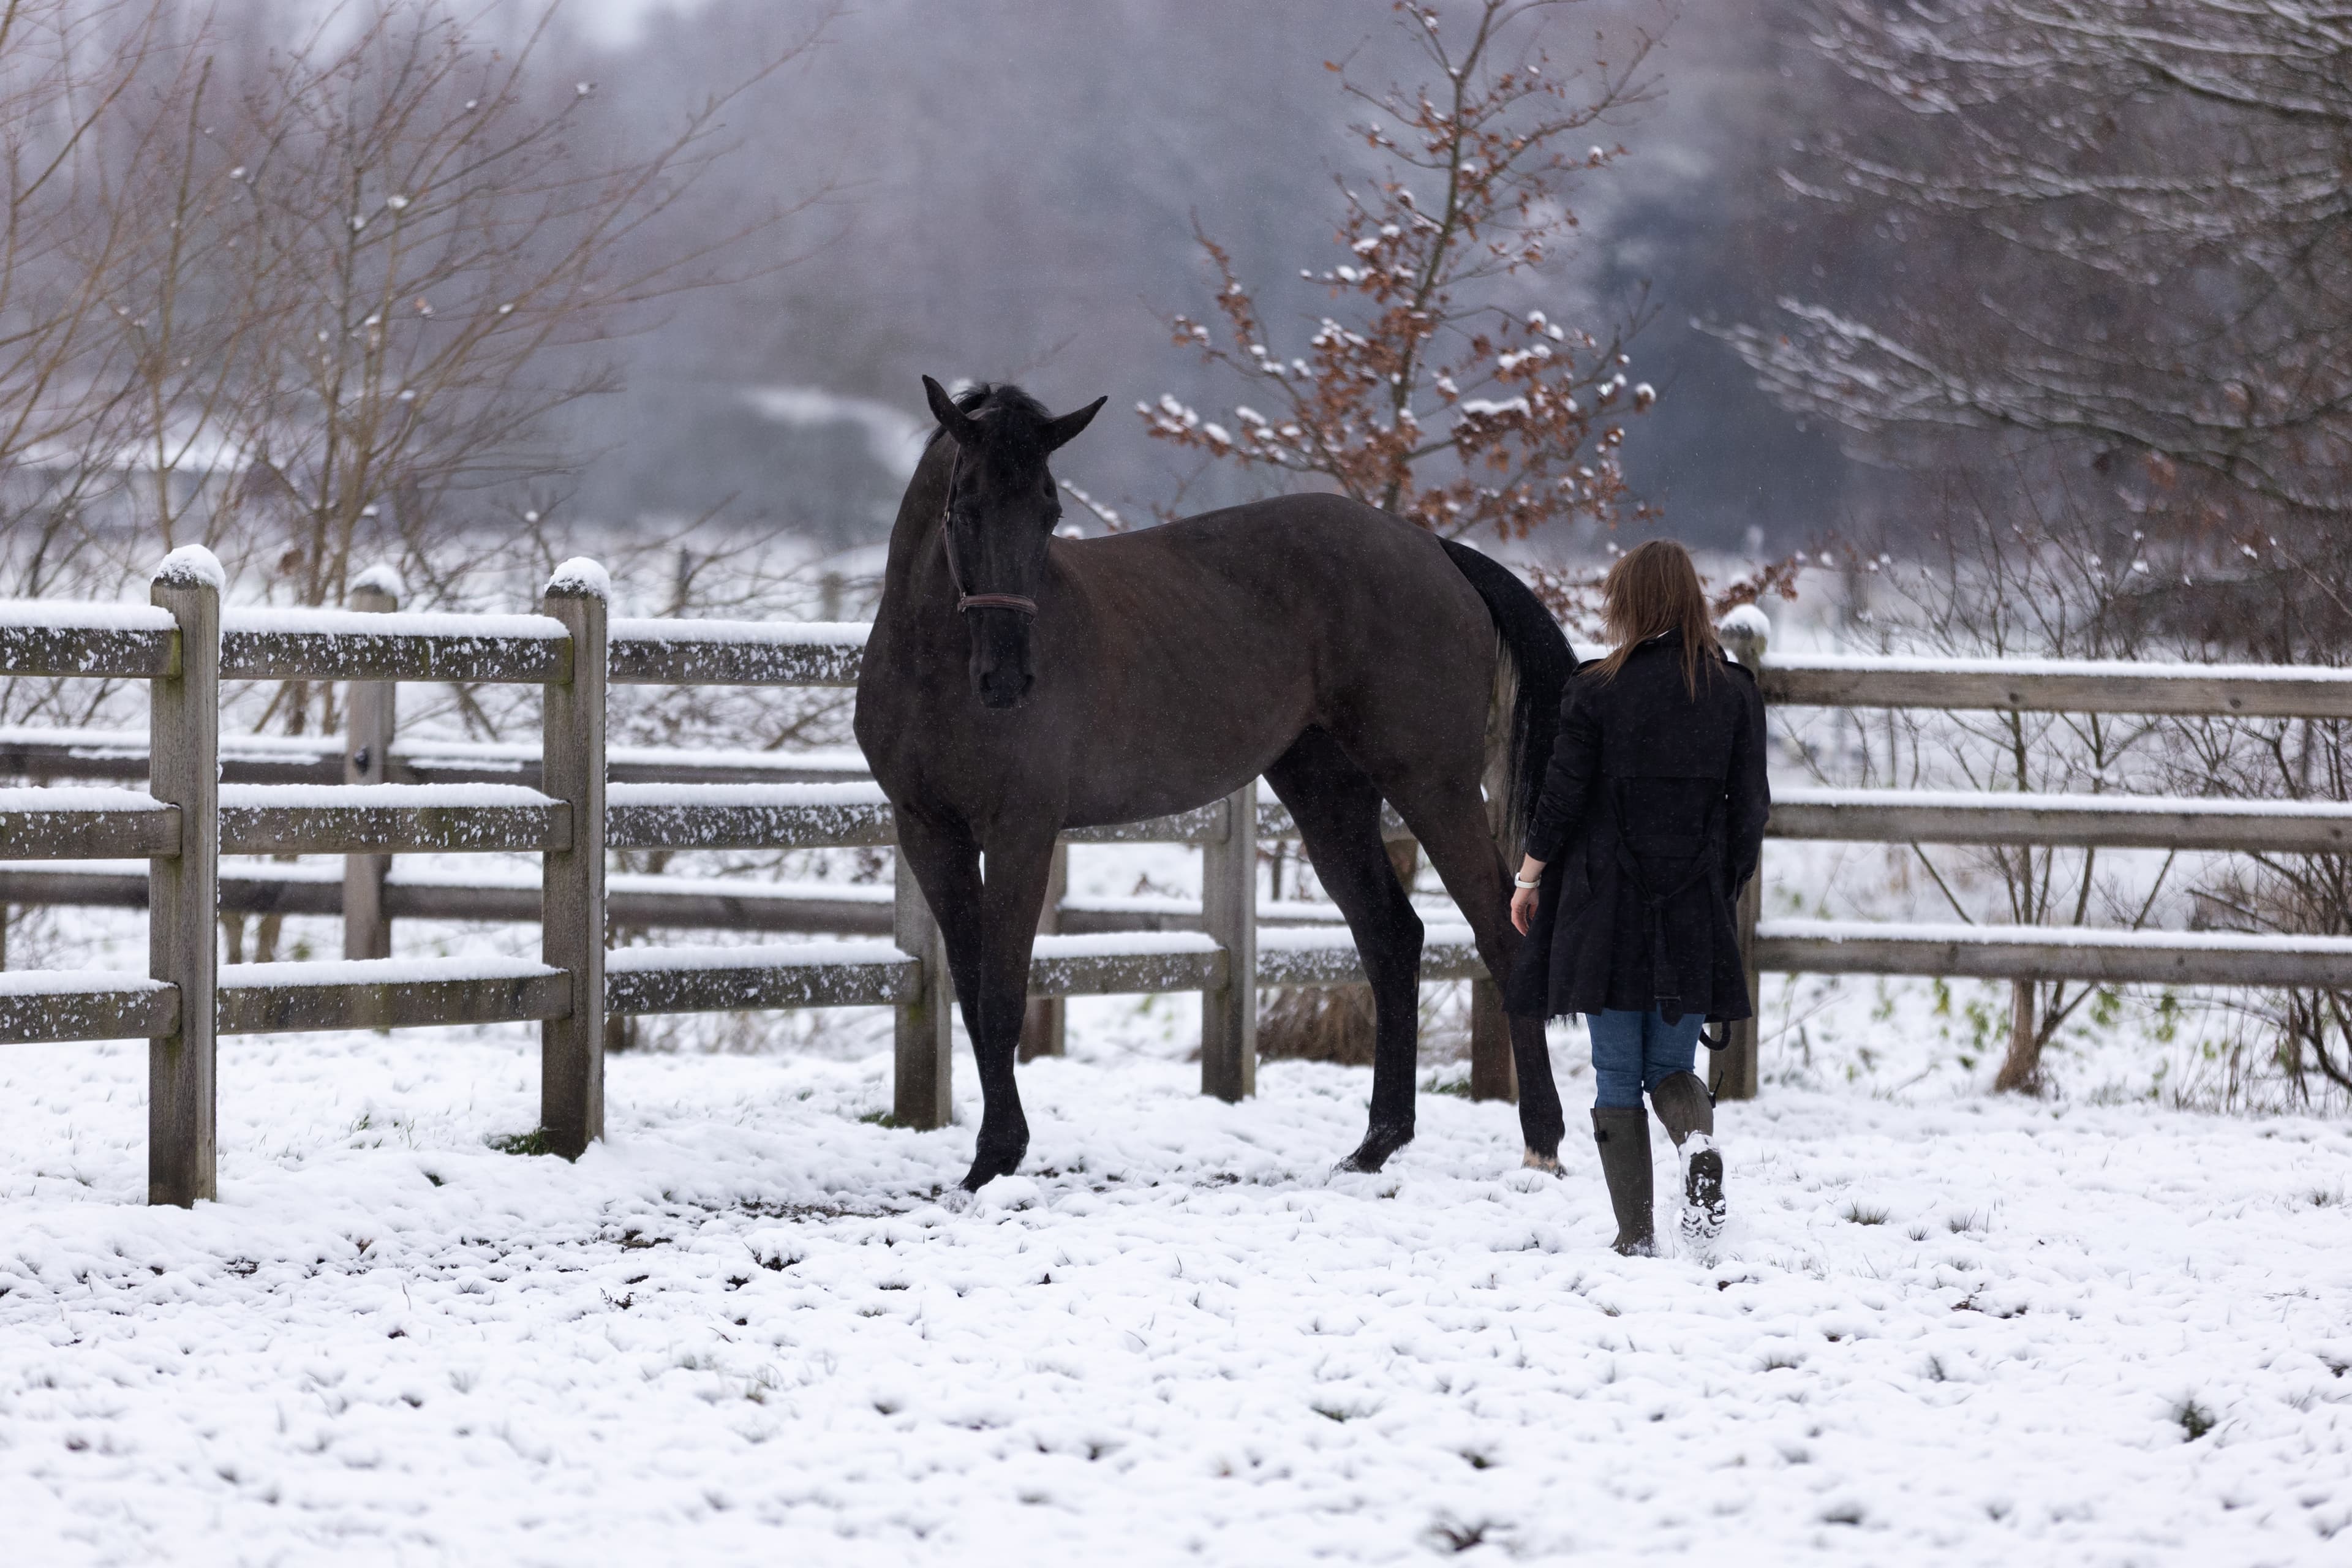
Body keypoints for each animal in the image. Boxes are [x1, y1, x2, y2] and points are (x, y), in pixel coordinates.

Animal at [853, 377, 1576, 1192]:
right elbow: (972, 992)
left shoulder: (1021, 833)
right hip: (1329, 796)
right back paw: (1374, 1146)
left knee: (1500, 937)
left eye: (1049, 510)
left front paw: (996, 1159)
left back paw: (1542, 1141)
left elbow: (1002, 994)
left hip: (1434, 785)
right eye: (965, 506)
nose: (1007, 680)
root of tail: (1433, 549)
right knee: (1392, 939)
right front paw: (988, 1157)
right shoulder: (928, 833)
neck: (933, 669)